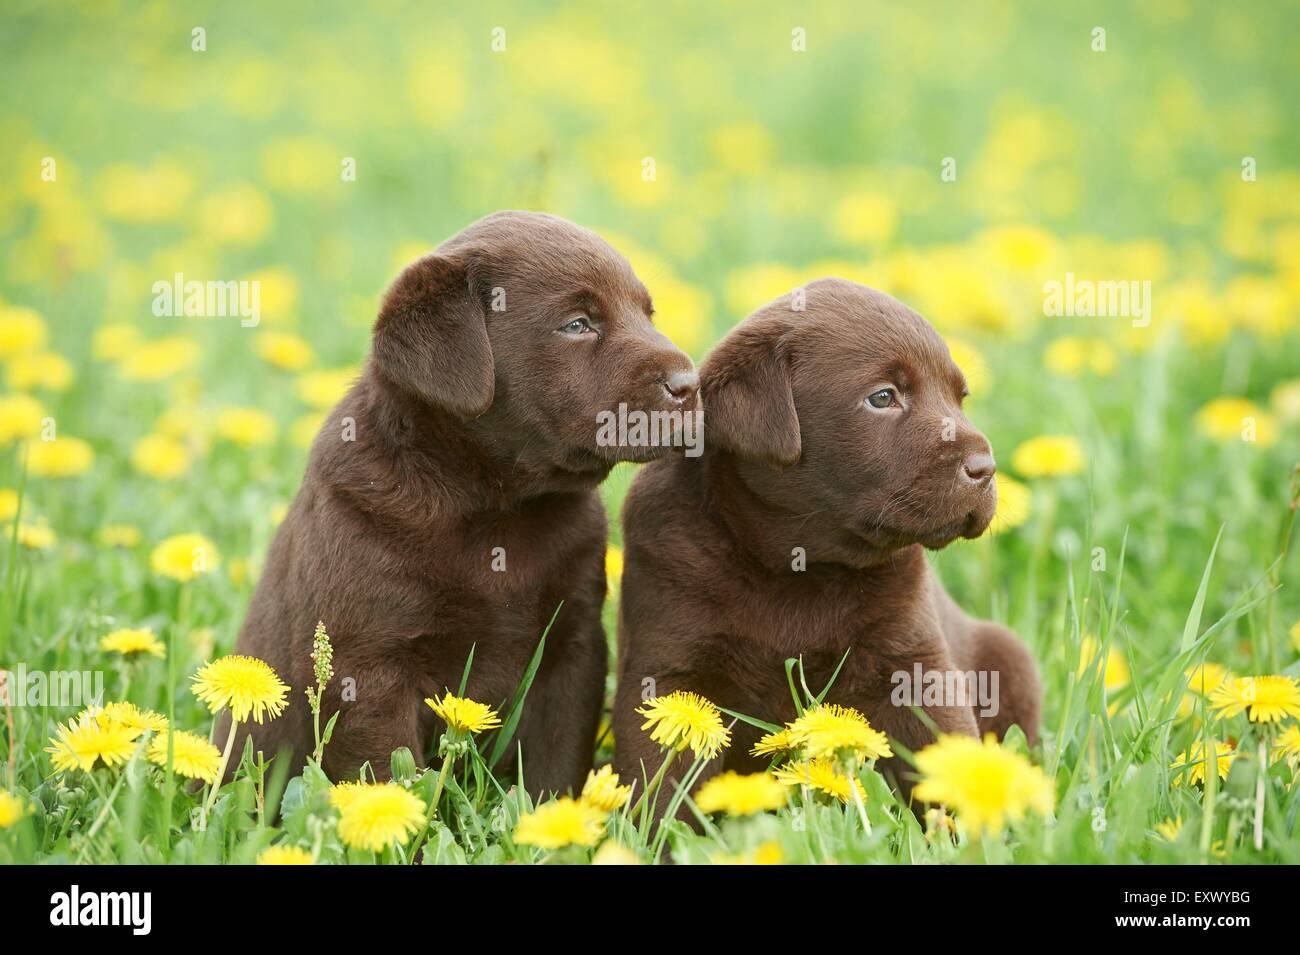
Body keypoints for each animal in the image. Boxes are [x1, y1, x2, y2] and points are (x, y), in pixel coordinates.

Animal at [231, 213, 702, 795]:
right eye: (577, 324)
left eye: (647, 313)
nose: (691, 384)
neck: (492, 504)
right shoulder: (367, 663)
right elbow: (386, 771)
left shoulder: (573, 648)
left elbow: (553, 762)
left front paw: (554, 815)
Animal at [613, 278, 1040, 800]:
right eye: (883, 397)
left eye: (960, 398)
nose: (985, 467)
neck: (798, 565)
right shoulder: (669, 666)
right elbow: (660, 773)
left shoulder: (913, 661)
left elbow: (942, 745)